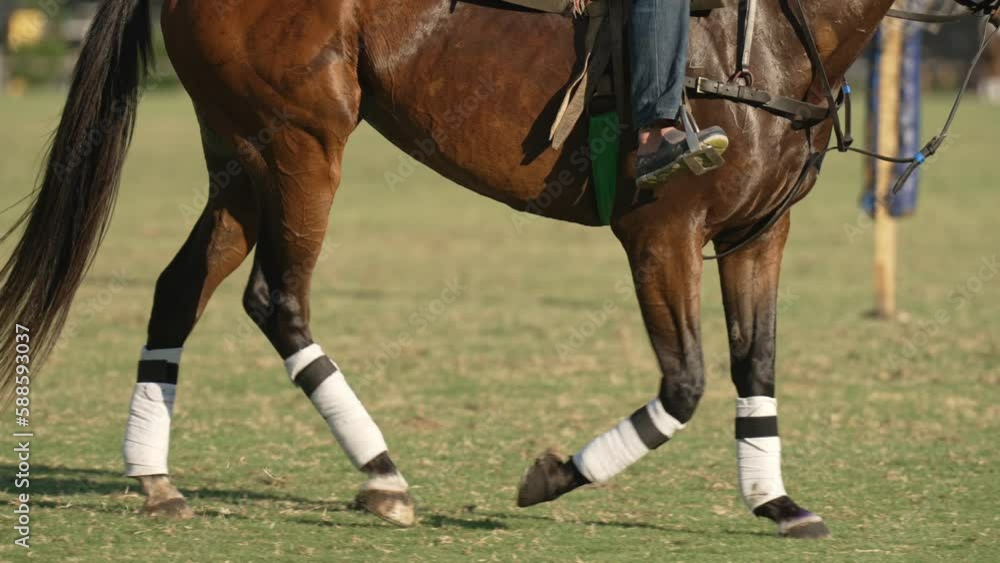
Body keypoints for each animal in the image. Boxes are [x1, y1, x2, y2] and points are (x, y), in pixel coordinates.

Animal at [0, 0, 982, 538]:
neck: (772, 33)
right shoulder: (661, 230)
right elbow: (686, 382)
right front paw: (553, 475)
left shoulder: (757, 234)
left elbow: (757, 367)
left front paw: (776, 501)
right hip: (302, 141)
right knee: (278, 299)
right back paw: (383, 475)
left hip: (242, 156)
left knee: (180, 288)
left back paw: (154, 477)